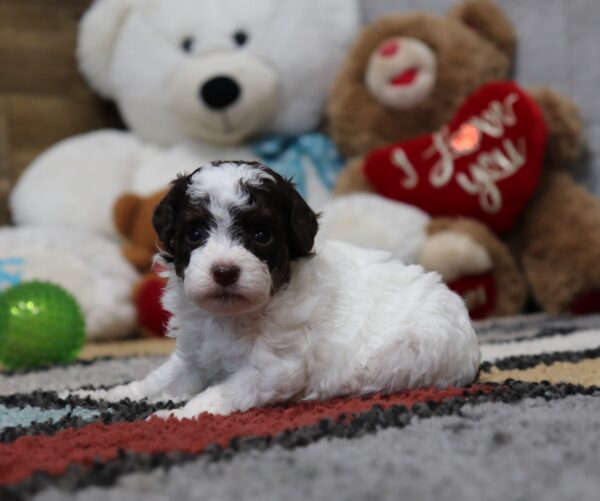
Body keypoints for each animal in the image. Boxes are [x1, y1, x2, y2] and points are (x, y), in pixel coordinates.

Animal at [83, 161, 478, 418]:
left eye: (262, 235)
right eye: (195, 233)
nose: (224, 271)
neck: (233, 316)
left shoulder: (274, 368)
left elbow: (219, 392)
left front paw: (176, 417)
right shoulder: (196, 355)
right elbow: (158, 379)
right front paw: (105, 393)